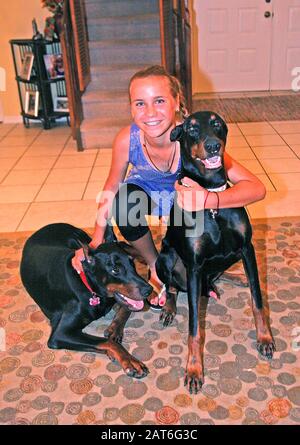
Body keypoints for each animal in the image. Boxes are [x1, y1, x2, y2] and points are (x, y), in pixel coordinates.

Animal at [19, 222, 152, 378]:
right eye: (115, 270)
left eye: (132, 264)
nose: (149, 290)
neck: (89, 285)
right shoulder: (60, 333)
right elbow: (107, 342)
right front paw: (130, 361)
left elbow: (126, 308)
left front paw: (114, 329)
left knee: (122, 242)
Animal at [156, 110, 276, 392]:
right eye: (191, 128)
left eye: (216, 124)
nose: (212, 146)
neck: (210, 196)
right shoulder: (194, 265)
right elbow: (194, 328)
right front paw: (194, 370)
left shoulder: (247, 248)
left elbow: (258, 301)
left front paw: (265, 338)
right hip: (165, 258)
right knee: (173, 286)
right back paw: (169, 307)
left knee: (218, 275)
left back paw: (234, 279)